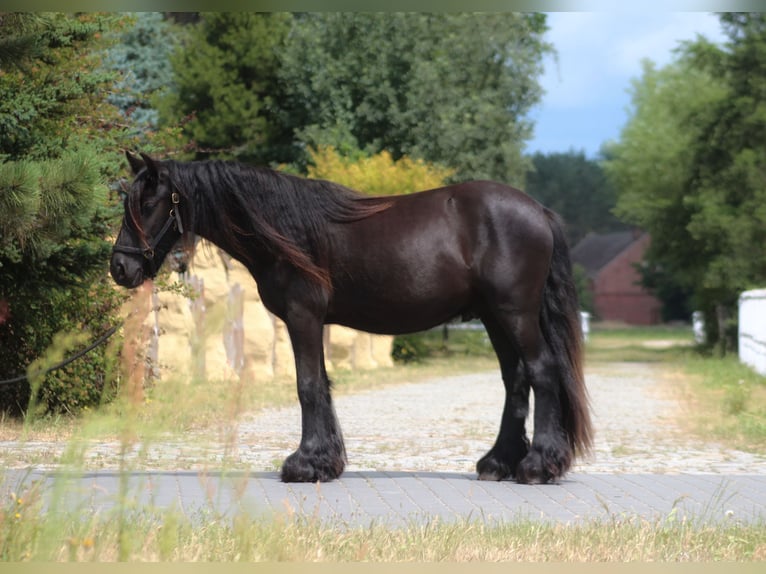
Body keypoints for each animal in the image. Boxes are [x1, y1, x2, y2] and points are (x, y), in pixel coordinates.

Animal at [110, 151, 592, 484]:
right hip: (495, 318)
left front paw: (303, 464)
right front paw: (326, 462)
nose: (120, 267)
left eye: (148, 203)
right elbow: (322, 385)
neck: (287, 231)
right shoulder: (311, 321)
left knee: (542, 373)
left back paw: (537, 466)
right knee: (516, 381)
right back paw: (498, 462)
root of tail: (538, 212)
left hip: (514, 315)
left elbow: (307, 386)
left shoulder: (303, 316)